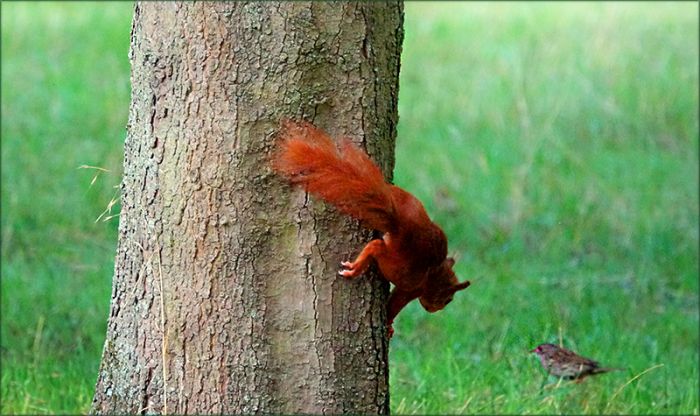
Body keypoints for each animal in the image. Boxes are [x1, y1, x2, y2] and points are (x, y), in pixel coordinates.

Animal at [272, 120, 470, 337]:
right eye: (448, 299)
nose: (435, 309)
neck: (436, 273)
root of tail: (401, 224)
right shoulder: (411, 288)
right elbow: (395, 304)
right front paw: (389, 324)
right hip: (398, 266)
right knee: (376, 247)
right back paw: (356, 267)